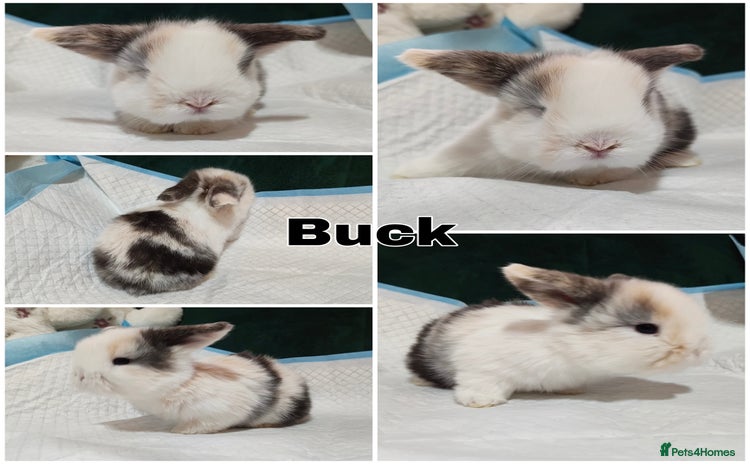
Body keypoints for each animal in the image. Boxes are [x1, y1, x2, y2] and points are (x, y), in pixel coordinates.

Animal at [72, 322, 311, 433]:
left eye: (121, 361)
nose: (79, 376)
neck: (177, 383)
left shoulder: (218, 411)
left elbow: (203, 424)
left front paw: (182, 431)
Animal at [407, 263, 711, 407]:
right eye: (646, 328)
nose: (698, 349)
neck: (565, 344)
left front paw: (571, 390)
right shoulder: (482, 368)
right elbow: (479, 383)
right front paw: (480, 402)